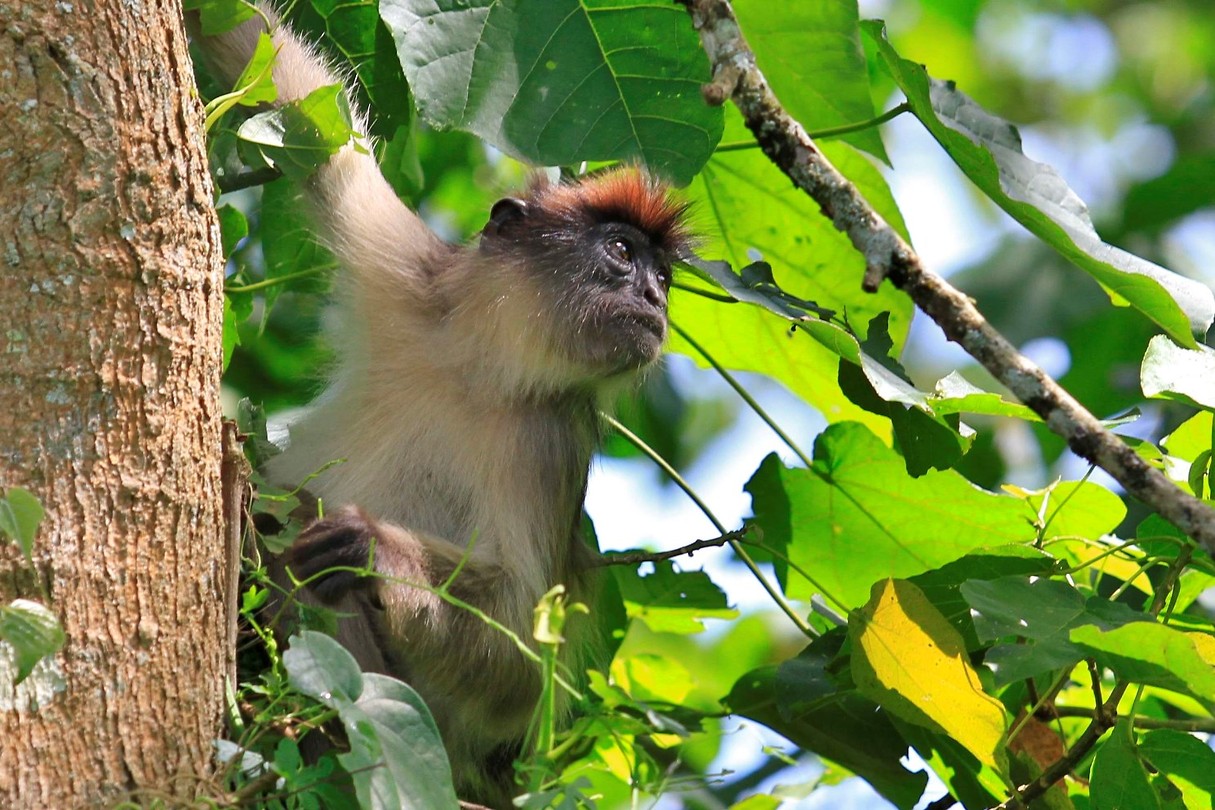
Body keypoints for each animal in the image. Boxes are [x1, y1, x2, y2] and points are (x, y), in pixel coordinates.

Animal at [190, 7, 693, 807]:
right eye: (622, 252)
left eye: (665, 279)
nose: (654, 297)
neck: (478, 371)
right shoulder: (406, 277)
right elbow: (297, 101)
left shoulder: (550, 437)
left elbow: (523, 658)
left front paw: (375, 552)